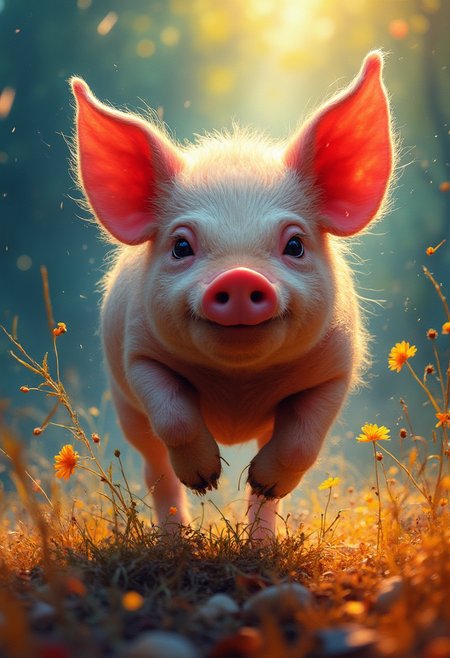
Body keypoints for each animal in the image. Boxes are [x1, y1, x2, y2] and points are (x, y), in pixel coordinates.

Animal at [71, 51, 393, 536]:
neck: (237, 388)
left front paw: (261, 480)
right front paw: (206, 481)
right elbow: (174, 416)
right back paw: (176, 540)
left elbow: (302, 442)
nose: (239, 276)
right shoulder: (138, 354)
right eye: (181, 247)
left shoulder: (336, 367)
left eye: (294, 245)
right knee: (155, 468)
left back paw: (260, 539)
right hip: (128, 412)